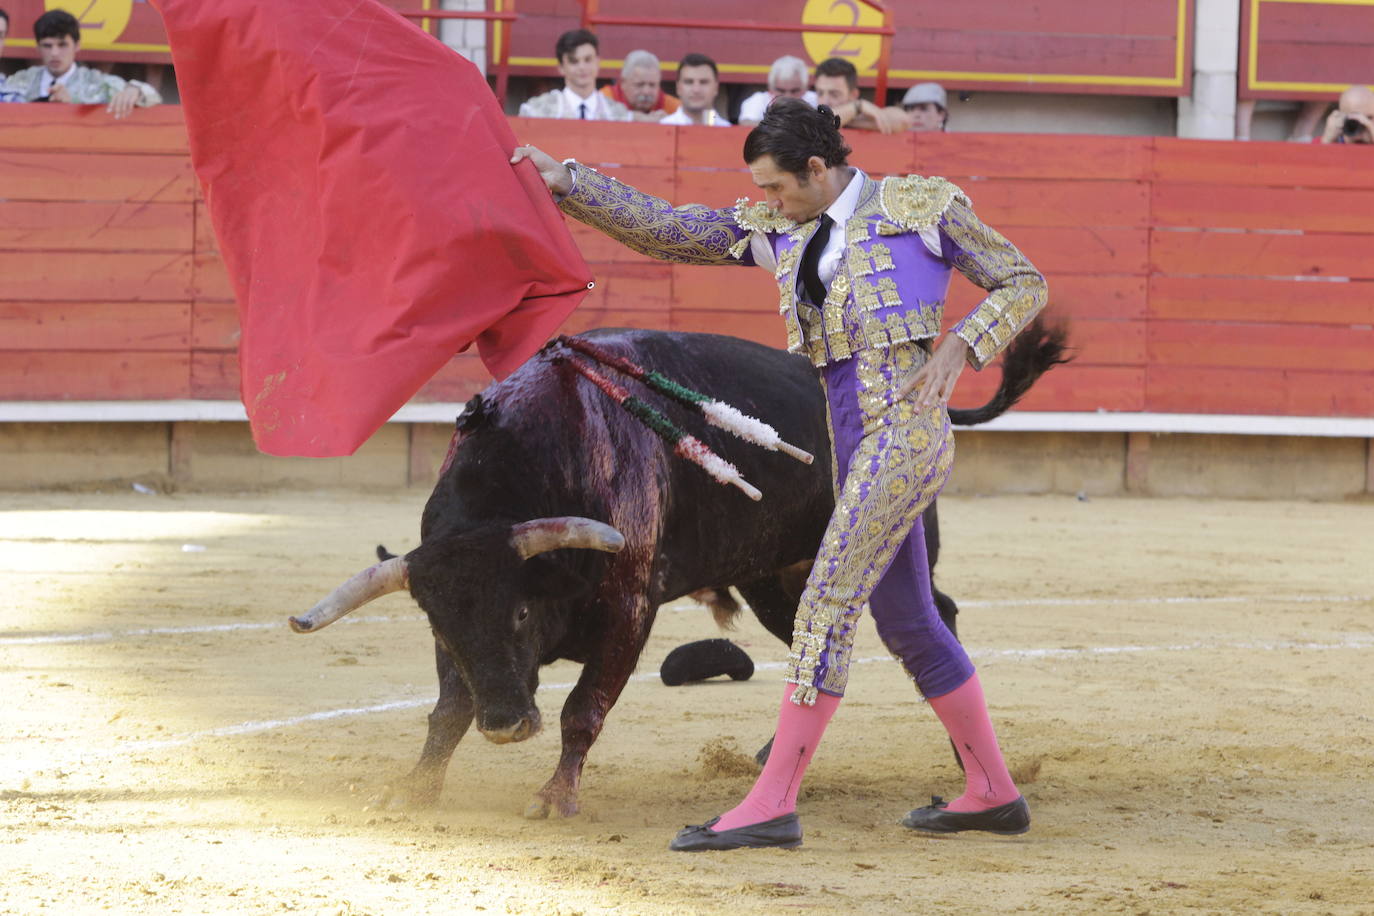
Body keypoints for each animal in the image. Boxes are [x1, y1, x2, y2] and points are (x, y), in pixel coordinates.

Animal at [289, 325, 1066, 818]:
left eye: (519, 611)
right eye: (442, 629)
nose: (506, 726)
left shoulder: (629, 609)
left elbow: (582, 709)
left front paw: (554, 797)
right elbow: (449, 707)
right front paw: (414, 788)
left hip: (883, 548)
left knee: (937, 616)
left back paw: (969, 767)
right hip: (775, 581)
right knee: (812, 644)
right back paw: (774, 753)